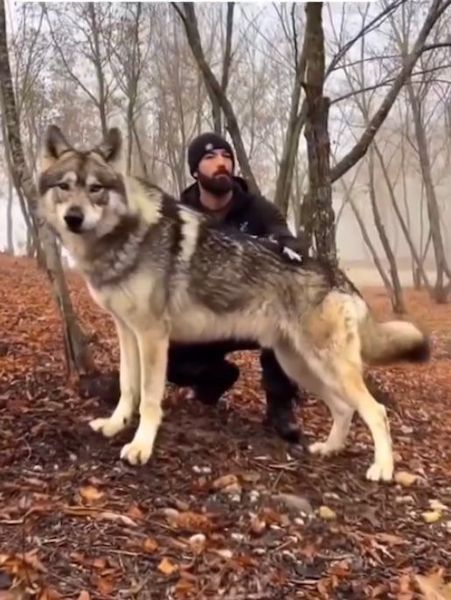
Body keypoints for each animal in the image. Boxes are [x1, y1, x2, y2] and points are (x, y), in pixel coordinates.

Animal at [37, 125, 430, 482]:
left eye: (95, 189)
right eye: (64, 187)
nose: (74, 217)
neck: (125, 236)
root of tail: (340, 277)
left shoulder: (152, 336)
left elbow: (148, 398)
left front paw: (140, 447)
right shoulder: (127, 332)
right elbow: (126, 387)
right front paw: (114, 425)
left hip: (325, 365)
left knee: (376, 411)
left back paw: (382, 469)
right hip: (300, 365)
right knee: (345, 408)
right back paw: (329, 449)